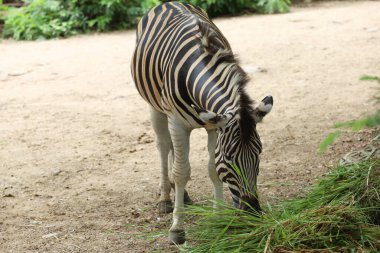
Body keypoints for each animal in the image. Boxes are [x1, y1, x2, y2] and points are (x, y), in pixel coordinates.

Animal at [131, 0, 274, 244]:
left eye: (259, 152)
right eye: (229, 157)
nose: (252, 212)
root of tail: (169, 3)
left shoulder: (214, 126)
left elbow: (212, 169)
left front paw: (218, 219)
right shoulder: (177, 122)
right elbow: (182, 172)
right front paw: (177, 229)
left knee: (172, 149)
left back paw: (181, 195)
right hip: (156, 107)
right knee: (164, 146)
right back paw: (165, 198)